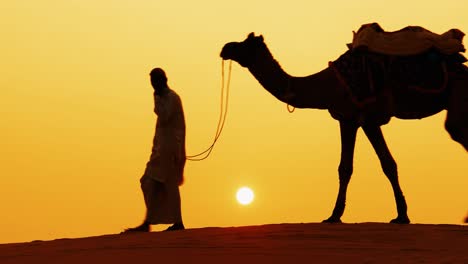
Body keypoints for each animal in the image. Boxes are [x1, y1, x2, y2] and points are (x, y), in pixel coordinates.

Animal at [219, 32, 468, 224]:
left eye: (244, 44)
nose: (225, 47)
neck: (327, 86)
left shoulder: (361, 118)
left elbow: (377, 165)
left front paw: (337, 215)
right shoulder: (352, 119)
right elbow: (355, 166)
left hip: (457, 91)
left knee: (457, 131)